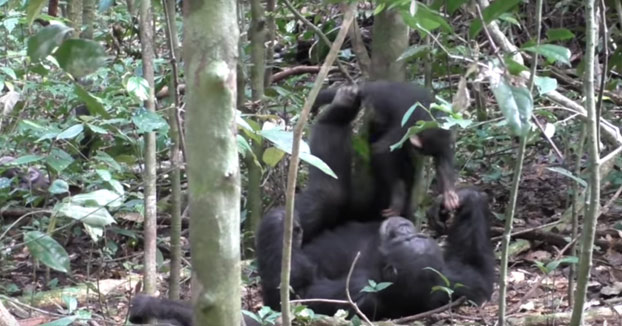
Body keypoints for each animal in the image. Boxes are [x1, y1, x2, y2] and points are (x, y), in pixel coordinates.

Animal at [314, 80, 460, 220]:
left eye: (425, 151)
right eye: (420, 149)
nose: (417, 152)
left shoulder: (447, 135)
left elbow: (444, 163)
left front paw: (449, 194)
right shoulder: (404, 129)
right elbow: (381, 151)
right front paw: (398, 195)